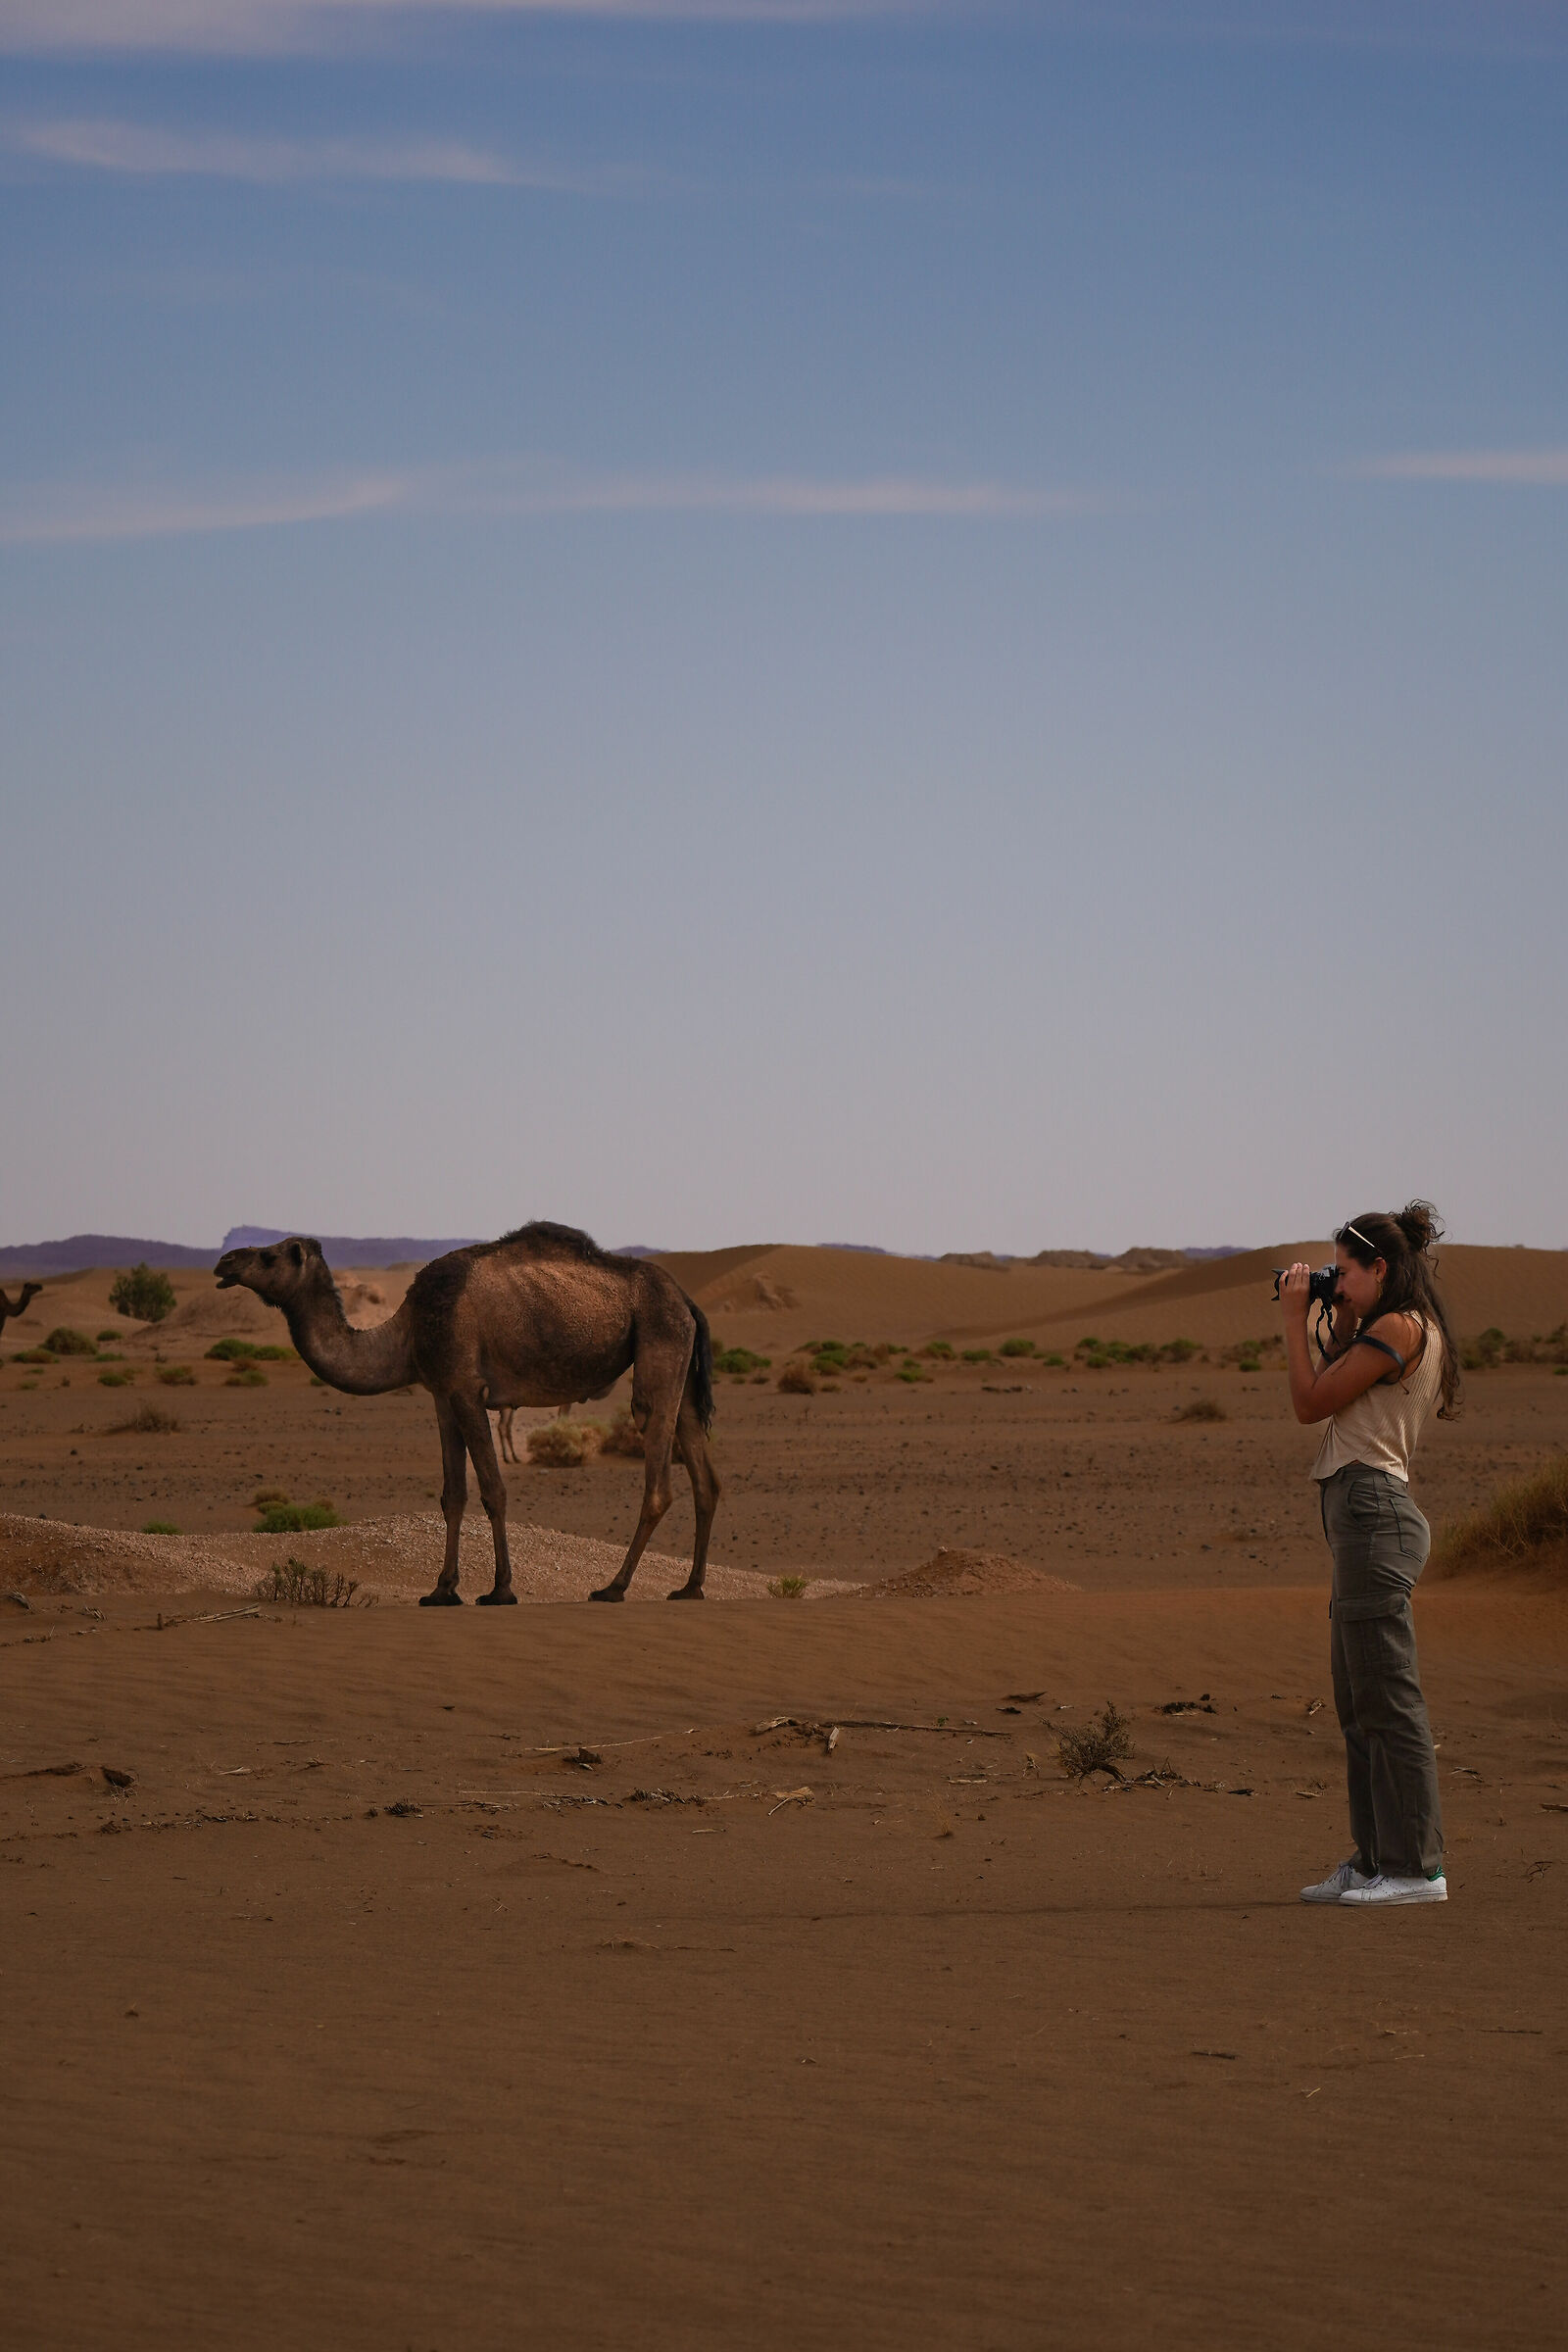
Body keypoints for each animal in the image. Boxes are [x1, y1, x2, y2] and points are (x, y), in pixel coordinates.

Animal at [214, 1223, 719, 1606]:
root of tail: (687, 1301)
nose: (224, 1262)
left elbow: (493, 1490)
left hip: (659, 1342)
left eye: (268, 1256)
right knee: (705, 1479)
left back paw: (614, 1587)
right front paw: (441, 1590)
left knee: (658, 1476)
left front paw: (500, 1591)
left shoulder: (466, 1388)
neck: (407, 1331)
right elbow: (452, 1494)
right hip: (680, 1365)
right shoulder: (442, 1394)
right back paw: (690, 1587)